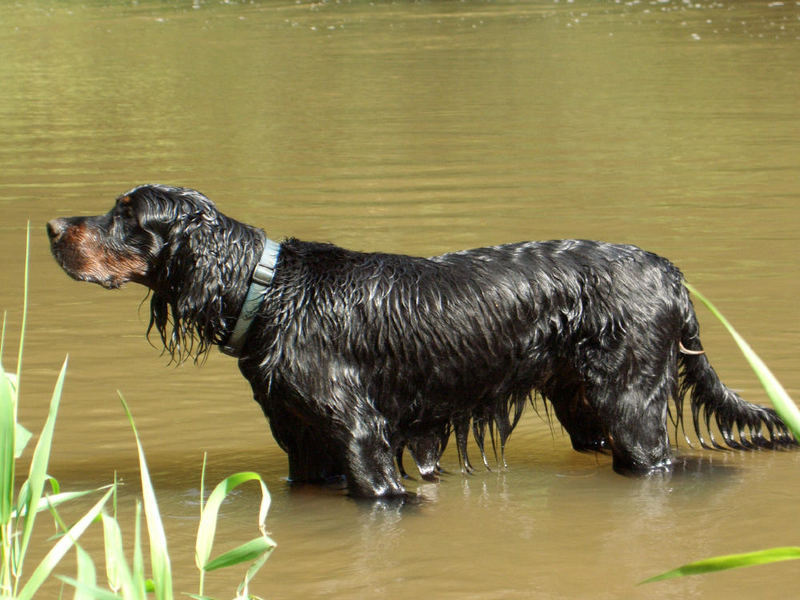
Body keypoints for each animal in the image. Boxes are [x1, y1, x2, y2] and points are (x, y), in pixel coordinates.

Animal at [48, 183, 792, 496]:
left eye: (127, 215)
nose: (53, 226)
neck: (268, 290)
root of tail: (670, 273)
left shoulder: (362, 440)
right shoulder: (305, 451)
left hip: (633, 412)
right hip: (590, 411)